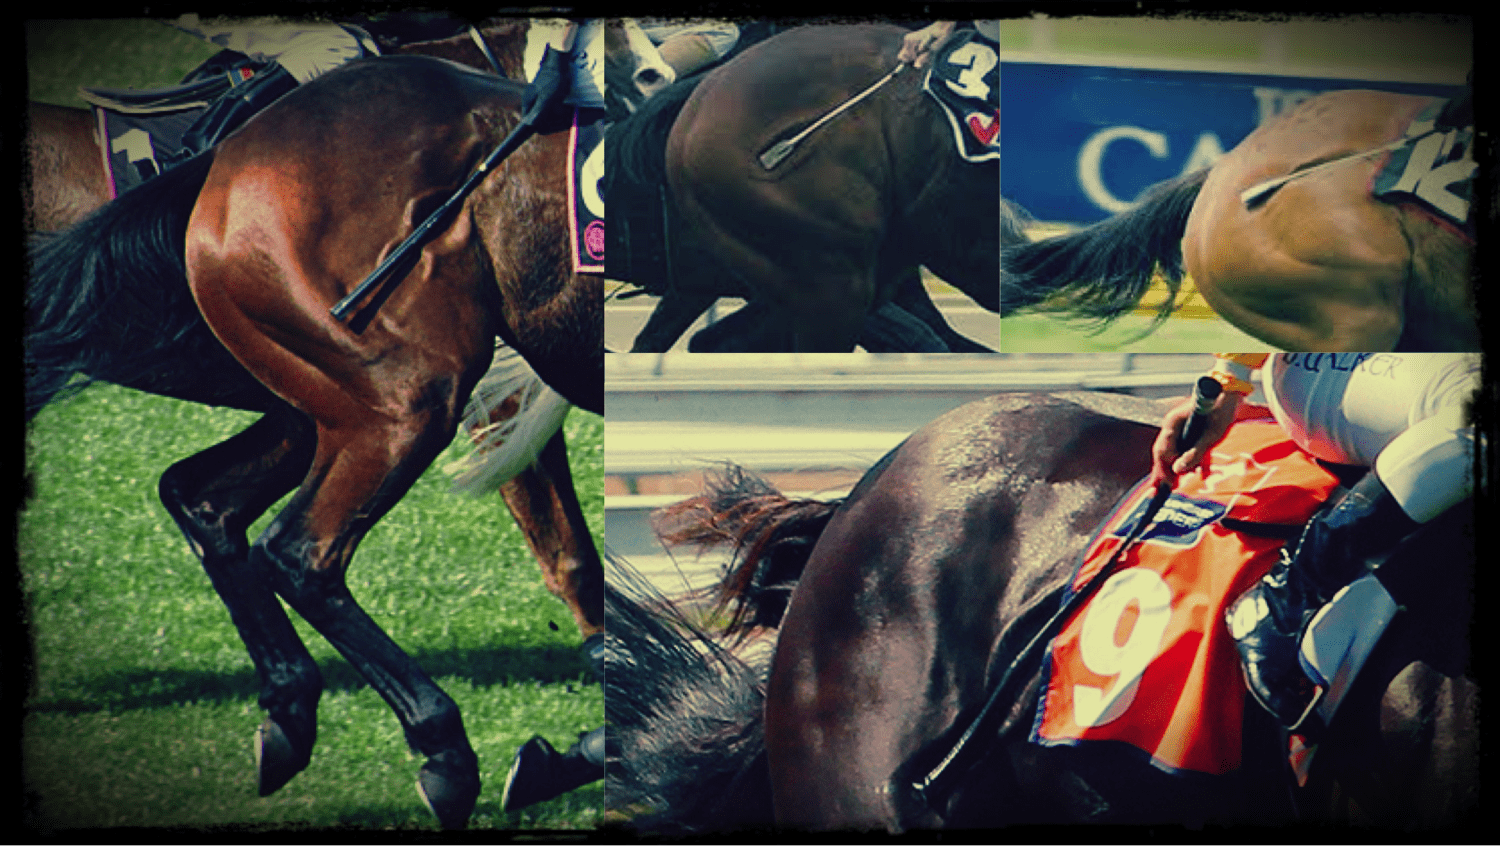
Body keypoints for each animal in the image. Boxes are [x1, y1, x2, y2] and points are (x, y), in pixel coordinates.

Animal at [26, 21, 601, 829]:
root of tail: (221, 174)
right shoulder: (498, 397)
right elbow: (576, 561)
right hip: (404, 402)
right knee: (299, 551)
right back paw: (444, 752)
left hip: (339, 410)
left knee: (206, 503)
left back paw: (293, 713)